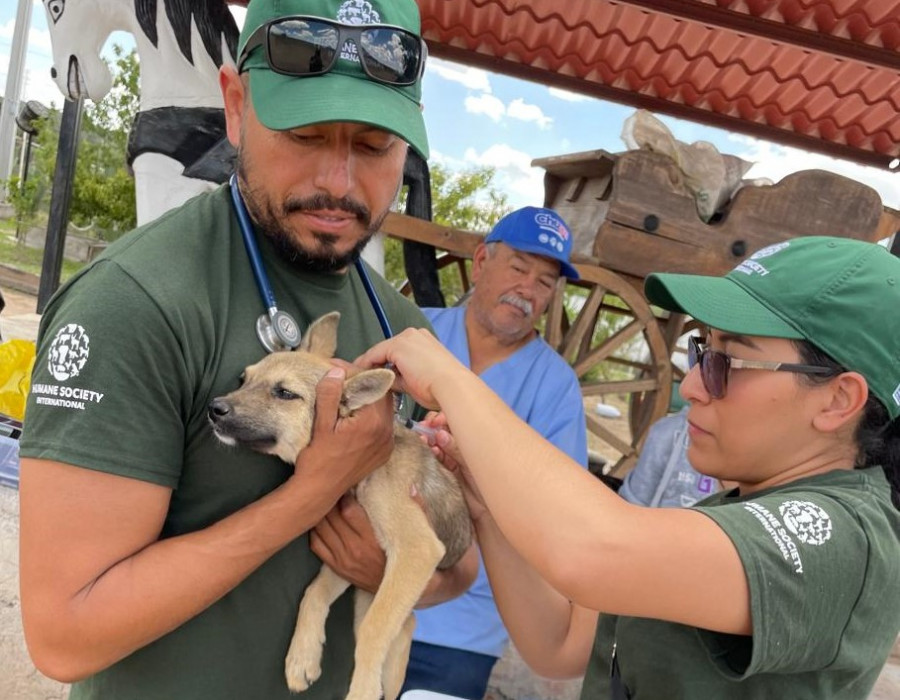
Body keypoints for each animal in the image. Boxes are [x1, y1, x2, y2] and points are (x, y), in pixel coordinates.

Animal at [207, 314, 468, 700]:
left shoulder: (417, 549)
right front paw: (302, 656)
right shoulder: (349, 558)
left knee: (401, 629)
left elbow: (375, 630)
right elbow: (313, 592)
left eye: (284, 393)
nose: (215, 408)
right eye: (244, 379)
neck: (366, 475)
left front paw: (362, 689)